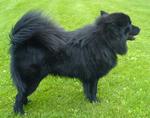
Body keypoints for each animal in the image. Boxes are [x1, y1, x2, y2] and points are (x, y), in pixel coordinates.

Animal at [9, 10, 140, 114]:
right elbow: (94, 90)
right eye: (129, 24)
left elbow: (88, 90)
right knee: (19, 96)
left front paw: (89, 101)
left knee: (21, 93)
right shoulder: (93, 76)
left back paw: (26, 103)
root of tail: (20, 43)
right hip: (32, 80)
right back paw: (20, 112)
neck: (105, 41)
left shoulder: (88, 77)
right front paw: (95, 101)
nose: (140, 28)